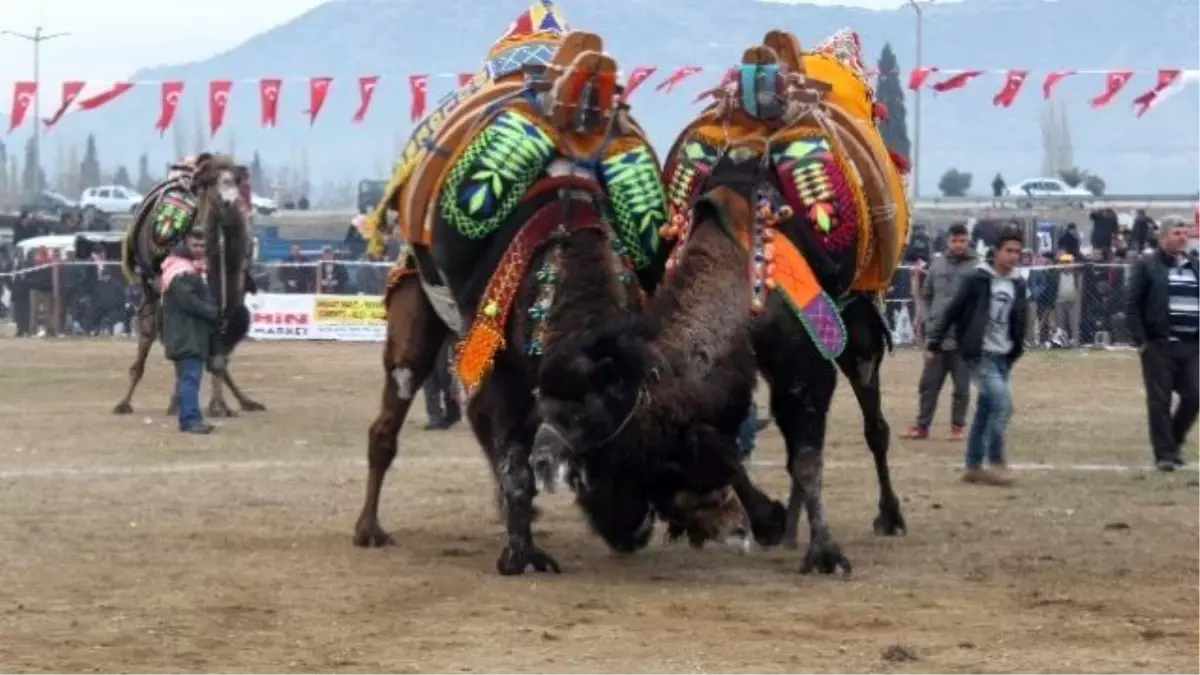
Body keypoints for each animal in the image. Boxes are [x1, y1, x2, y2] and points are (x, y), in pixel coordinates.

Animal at [112, 152, 265, 415]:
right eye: (214, 182)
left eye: (236, 181)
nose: (230, 200)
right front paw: (210, 404)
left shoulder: (230, 294)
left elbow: (217, 349)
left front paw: (225, 404)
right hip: (150, 285)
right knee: (150, 329)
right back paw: (126, 401)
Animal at [350, 5, 777, 571]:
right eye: (614, 463)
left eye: (660, 460)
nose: (632, 531)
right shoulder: (495, 357)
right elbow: (512, 456)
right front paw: (522, 552)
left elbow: (512, 449)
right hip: (416, 304)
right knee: (391, 415)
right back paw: (369, 527)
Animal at [537, 30, 907, 571]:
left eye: (606, 446)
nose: (621, 531)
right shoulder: (734, 371)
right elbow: (722, 441)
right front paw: (768, 520)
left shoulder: (806, 358)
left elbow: (805, 455)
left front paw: (824, 551)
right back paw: (792, 528)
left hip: (858, 316)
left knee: (874, 421)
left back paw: (889, 516)